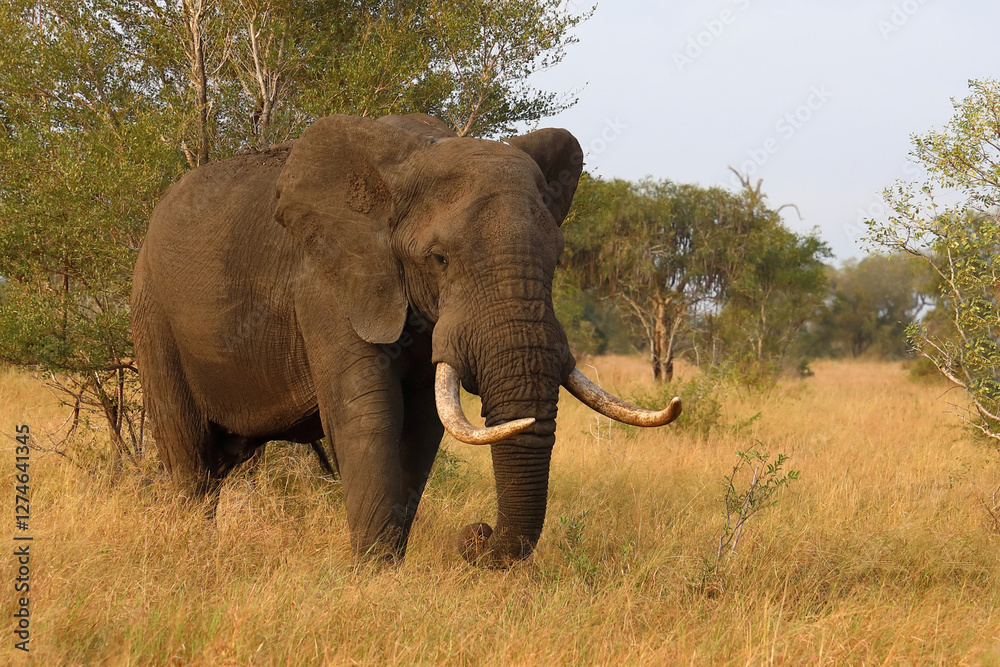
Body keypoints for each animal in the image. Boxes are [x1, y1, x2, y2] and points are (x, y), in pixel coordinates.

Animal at [130, 112, 681, 568]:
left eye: (558, 258)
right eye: (439, 259)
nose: (475, 535)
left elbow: (420, 424)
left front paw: (386, 568)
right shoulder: (328, 282)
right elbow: (370, 414)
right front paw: (371, 576)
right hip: (152, 311)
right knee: (190, 457)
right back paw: (192, 554)